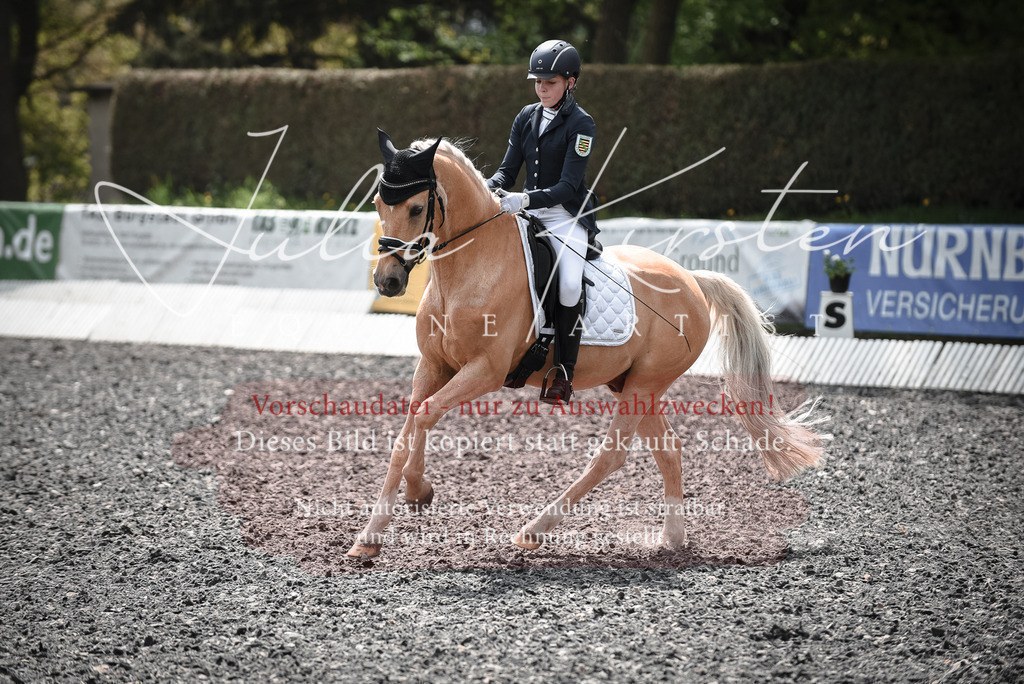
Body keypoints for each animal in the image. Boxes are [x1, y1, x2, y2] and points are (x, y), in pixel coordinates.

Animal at [347, 132, 828, 558]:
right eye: (378, 205)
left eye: (415, 208)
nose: (387, 283)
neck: (470, 268)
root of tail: (692, 279)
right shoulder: (433, 365)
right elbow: (409, 429)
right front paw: (374, 533)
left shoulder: (486, 370)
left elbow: (425, 416)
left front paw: (417, 493)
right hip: (634, 385)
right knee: (668, 450)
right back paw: (671, 539)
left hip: (643, 385)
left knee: (612, 456)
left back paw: (534, 531)